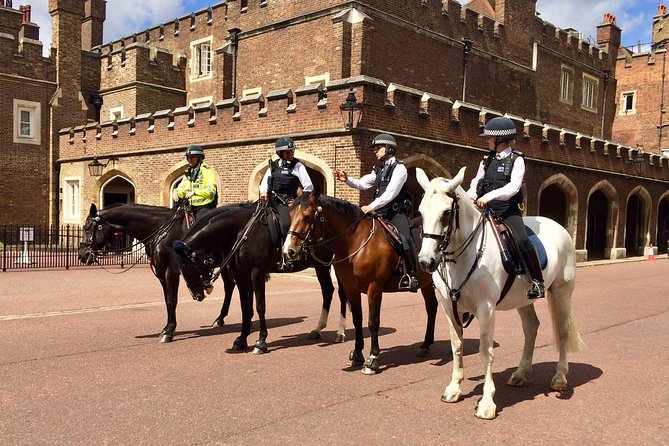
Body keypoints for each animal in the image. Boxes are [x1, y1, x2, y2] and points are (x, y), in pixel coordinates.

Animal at [77, 204, 237, 344]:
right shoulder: (161, 273)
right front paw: (167, 328)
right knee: (229, 287)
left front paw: (168, 332)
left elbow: (172, 300)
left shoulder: (171, 271)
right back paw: (220, 318)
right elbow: (167, 301)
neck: (161, 230)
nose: (82, 255)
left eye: (88, 228)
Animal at [172, 200, 348, 354]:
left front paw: (261, 342)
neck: (242, 230)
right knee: (327, 290)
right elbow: (245, 307)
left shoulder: (257, 272)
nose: (197, 296)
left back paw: (340, 333)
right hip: (320, 264)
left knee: (342, 293)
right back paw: (317, 329)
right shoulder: (240, 274)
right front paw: (241, 339)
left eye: (188, 265)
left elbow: (260, 306)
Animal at [282, 190, 438, 374]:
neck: (356, 243)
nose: (288, 251)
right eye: (291, 214)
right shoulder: (351, 288)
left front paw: (372, 359)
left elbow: (373, 321)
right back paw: (425, 345)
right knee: (431, 307)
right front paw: (357, 354)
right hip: (426, 283)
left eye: (307, 216)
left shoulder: (374, 287)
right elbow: (357, 319)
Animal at [414, 166, 580, 418]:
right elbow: (456, 346)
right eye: (421, 212)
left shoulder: (486, 308)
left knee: (562, 331)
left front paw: (486, 402)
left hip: (561, 292)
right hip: (524, 300)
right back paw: (520, 374)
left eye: (446, 213)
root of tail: (558, 226)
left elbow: (486, 351)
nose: (426, 261)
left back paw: (560, 377)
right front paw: (454, 388)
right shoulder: (449, 307)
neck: (465, 255)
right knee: (531, 327)